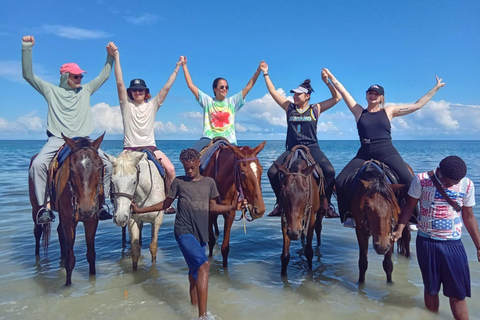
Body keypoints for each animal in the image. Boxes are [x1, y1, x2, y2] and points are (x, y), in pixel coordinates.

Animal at [30, 134, 106, 286]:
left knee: (60, 233)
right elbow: (71, 260)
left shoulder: (92, 220)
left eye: (100, 167)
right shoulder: (69, 220)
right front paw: (67, 285)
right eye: (71, 169)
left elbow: (91, 254)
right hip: (35, 207)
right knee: (38, 231)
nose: (85, 210)